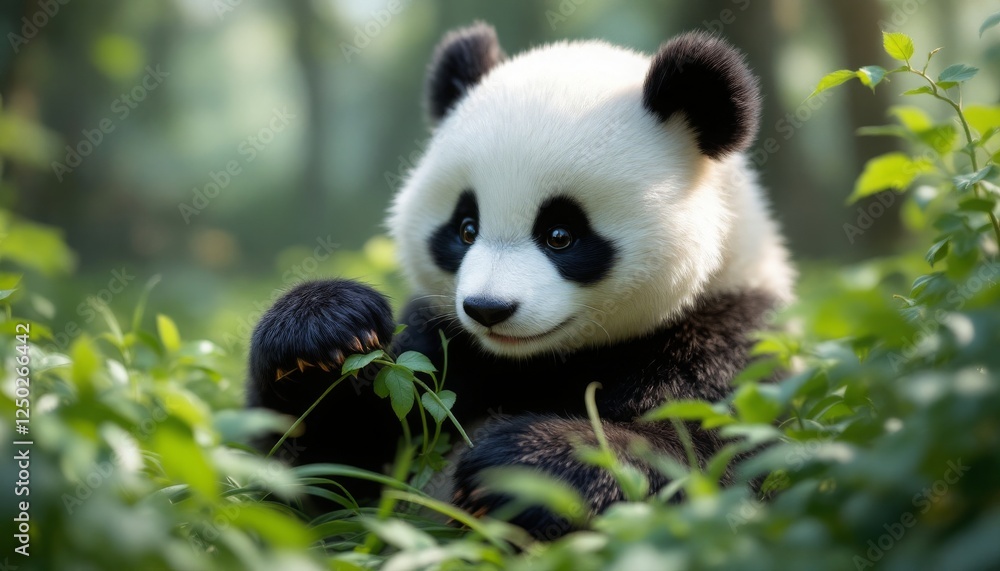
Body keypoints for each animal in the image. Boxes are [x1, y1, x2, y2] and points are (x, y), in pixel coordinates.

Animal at [247, 22, 794, 538]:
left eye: (560, 235)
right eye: (466, 228)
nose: (488, 308)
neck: (537, 363)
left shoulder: (728, 337)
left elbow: (705, 455)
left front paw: (522, 466)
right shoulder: (442, 343)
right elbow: (325, 475)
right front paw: (323, 330)